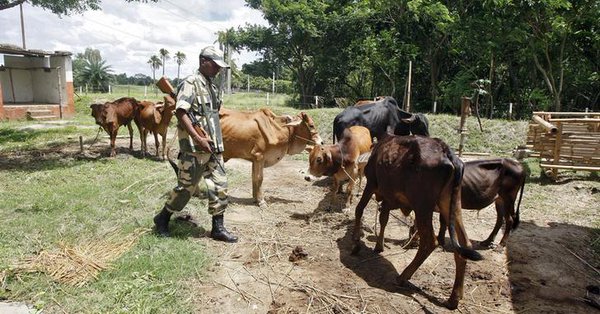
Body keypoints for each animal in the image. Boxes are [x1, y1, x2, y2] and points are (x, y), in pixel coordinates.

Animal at [352, 134, 482, 310]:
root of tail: (446, 151)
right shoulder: (388, 197)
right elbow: (383, 218)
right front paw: (379, 246)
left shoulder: (372, 183)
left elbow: (359, 209)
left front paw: (356, 244)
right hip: (451, 204)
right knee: (464, 244)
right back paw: (453, 298)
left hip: (422, 206)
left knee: (430, 242)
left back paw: (402, 277)